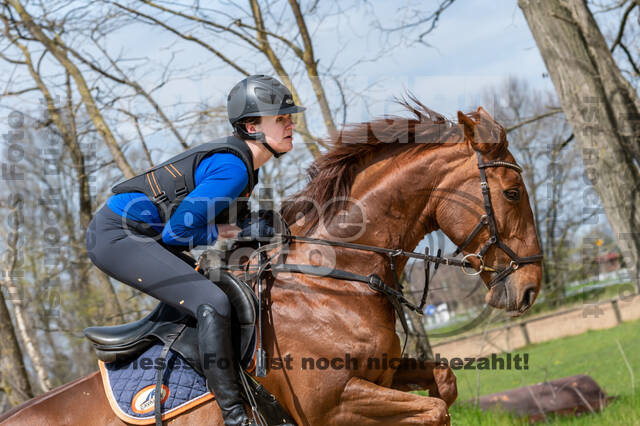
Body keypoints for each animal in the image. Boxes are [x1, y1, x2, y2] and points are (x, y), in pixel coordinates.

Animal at [1, 104, 540, 426]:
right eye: (513, 192)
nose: (531, 287)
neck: (331, 284)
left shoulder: (382, 376)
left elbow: (443, 386)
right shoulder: (335, 402)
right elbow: (433, 411)